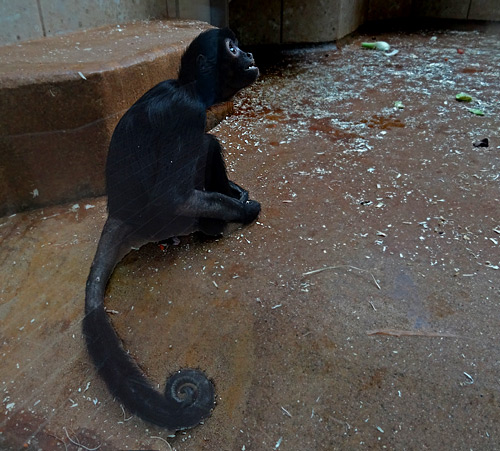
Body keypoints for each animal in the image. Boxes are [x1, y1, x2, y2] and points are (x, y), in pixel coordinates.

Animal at [82, 27, 260, 430]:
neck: (186, 86)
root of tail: (120, 213)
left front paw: (237, 194)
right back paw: (212, 226)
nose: (249, 54)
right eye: (232, 48)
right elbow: (175, 196)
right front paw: (245, 210)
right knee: (203, 142)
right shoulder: (187, 111)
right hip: (162, 219)